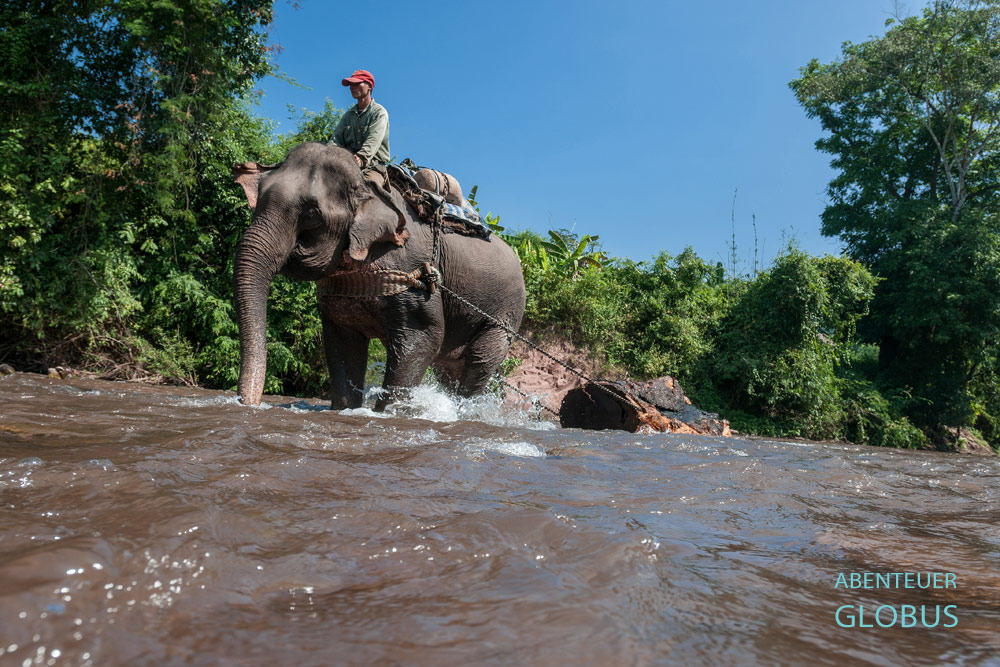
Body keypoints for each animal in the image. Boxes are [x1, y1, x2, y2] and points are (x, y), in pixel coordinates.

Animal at [232, 142, 526, 411]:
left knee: (479, 362)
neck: (367, 185)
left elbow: (425, 337)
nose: (249, 404)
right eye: (257, 197)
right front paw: (347, 409)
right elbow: (343, 343)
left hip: (504, 315)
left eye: (312, 214)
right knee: (449, 368)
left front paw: (388, 412)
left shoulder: (414, 271)